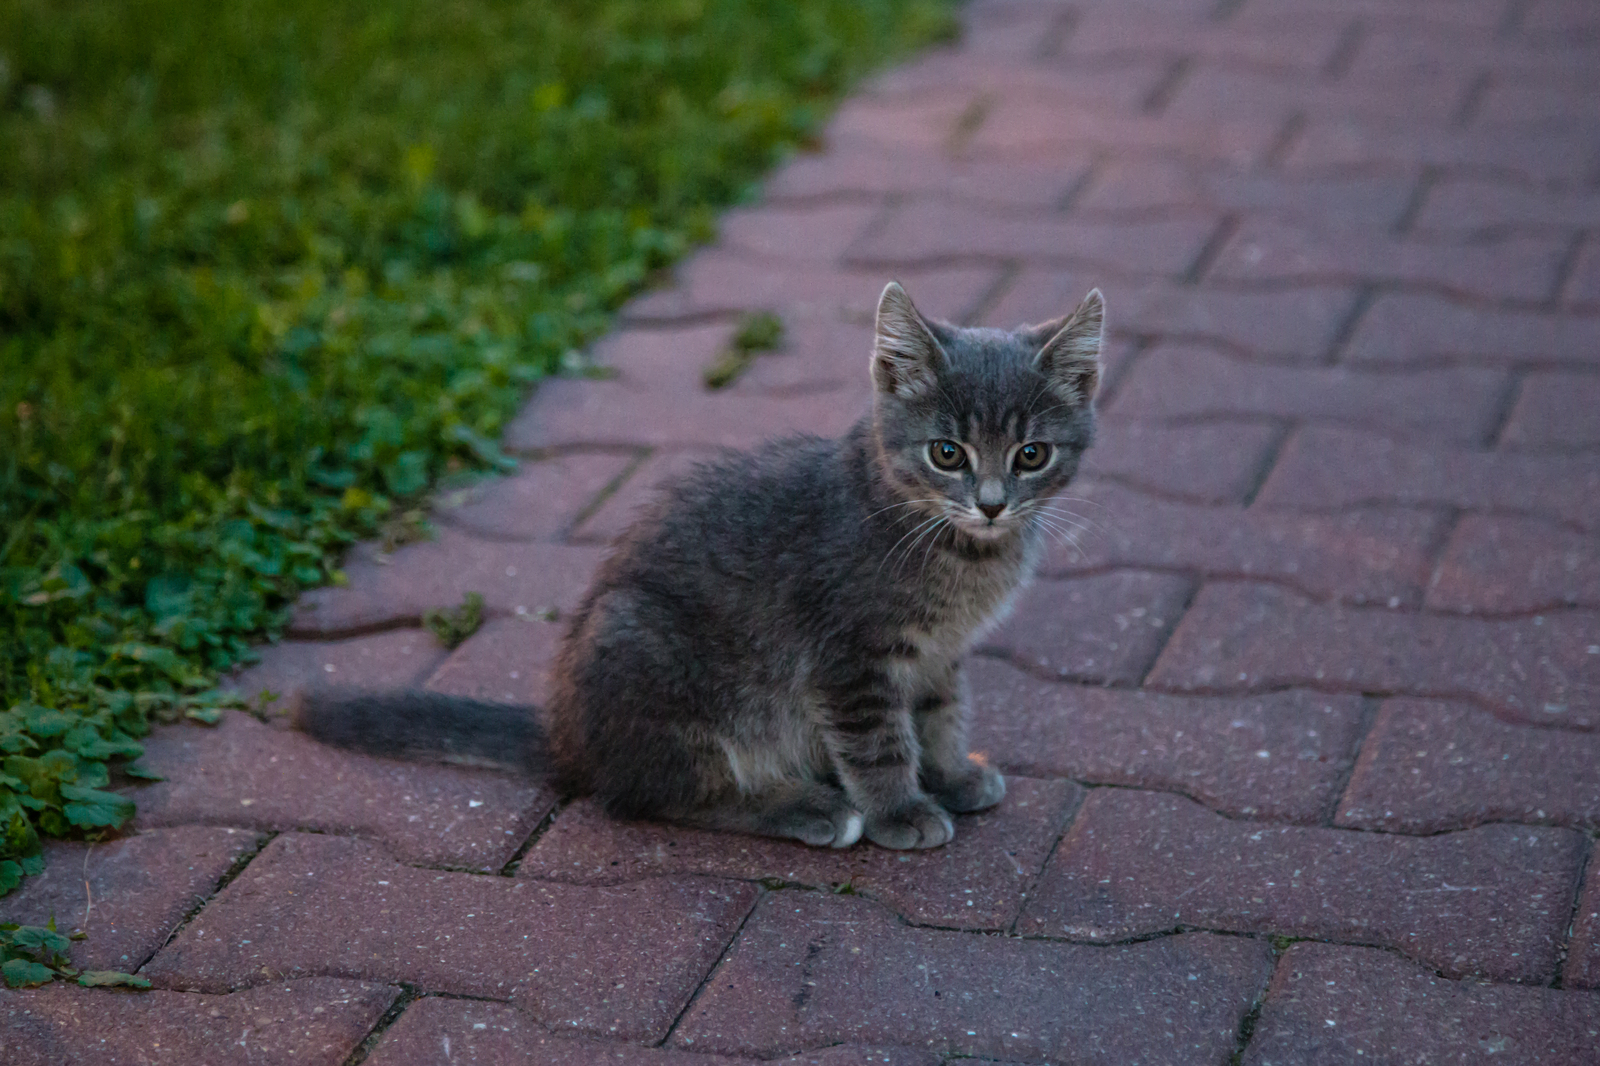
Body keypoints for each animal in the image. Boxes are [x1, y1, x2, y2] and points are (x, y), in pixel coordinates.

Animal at [297, 280, 1100, 845]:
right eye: (947, 453)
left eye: (1031, 455)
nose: (992, 504)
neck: (959, 551)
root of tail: (567, 737)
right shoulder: (847, 658)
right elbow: (878, 741)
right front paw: (901, 810)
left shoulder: (936, 654)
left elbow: (938, 715)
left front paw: (950, 775)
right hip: (655, 654)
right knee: (653, 795)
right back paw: (804, 807)